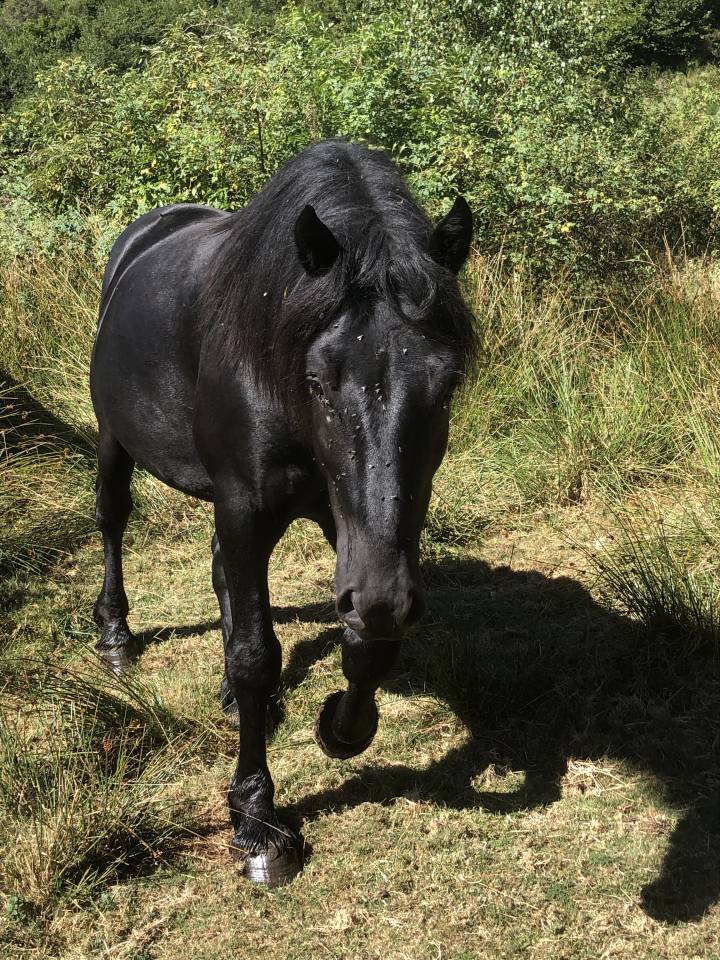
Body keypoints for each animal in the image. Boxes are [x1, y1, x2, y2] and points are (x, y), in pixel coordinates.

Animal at [90, 138, 476, 885]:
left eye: (446, 386)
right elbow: (254, 654)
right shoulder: (246, 506)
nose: (384, 596)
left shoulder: (353, 526)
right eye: (319, 381)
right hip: (114, 441)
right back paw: (118, 636)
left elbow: (368, 642)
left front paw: (340, 727)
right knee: (113, 519)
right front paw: (257, 819)